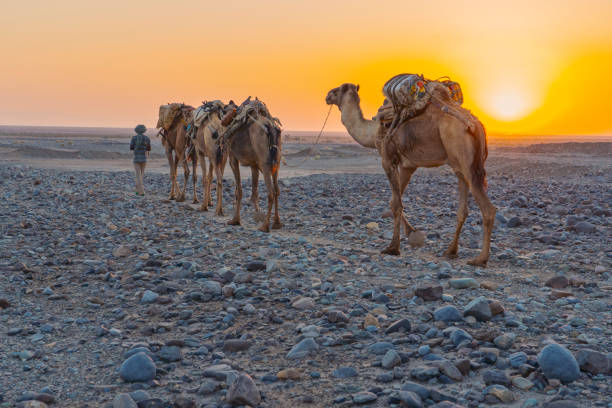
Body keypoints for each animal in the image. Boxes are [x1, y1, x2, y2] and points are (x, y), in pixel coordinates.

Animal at [222, 99, 282, 233]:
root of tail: (270, 127)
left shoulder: (232, 158)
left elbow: (238, 190)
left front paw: (235, 220)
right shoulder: (254, 164)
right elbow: (254, 189)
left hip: (265, 164)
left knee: (271, 192)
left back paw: (265, 226)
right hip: (276, 164)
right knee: (277, 190)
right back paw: (277, 223)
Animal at [328, 83, 494, 268]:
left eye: (337, 90)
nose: (327, 96)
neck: (372, 131)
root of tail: (476, 125)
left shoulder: (387, 159)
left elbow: (396, 204)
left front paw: (393, 248)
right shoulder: (409, 166)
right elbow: (395, 200)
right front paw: (411, 232)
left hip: (465, 159)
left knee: (488, 209)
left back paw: (480, 259)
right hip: (459, 164)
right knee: (463, 209)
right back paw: (451, 250)